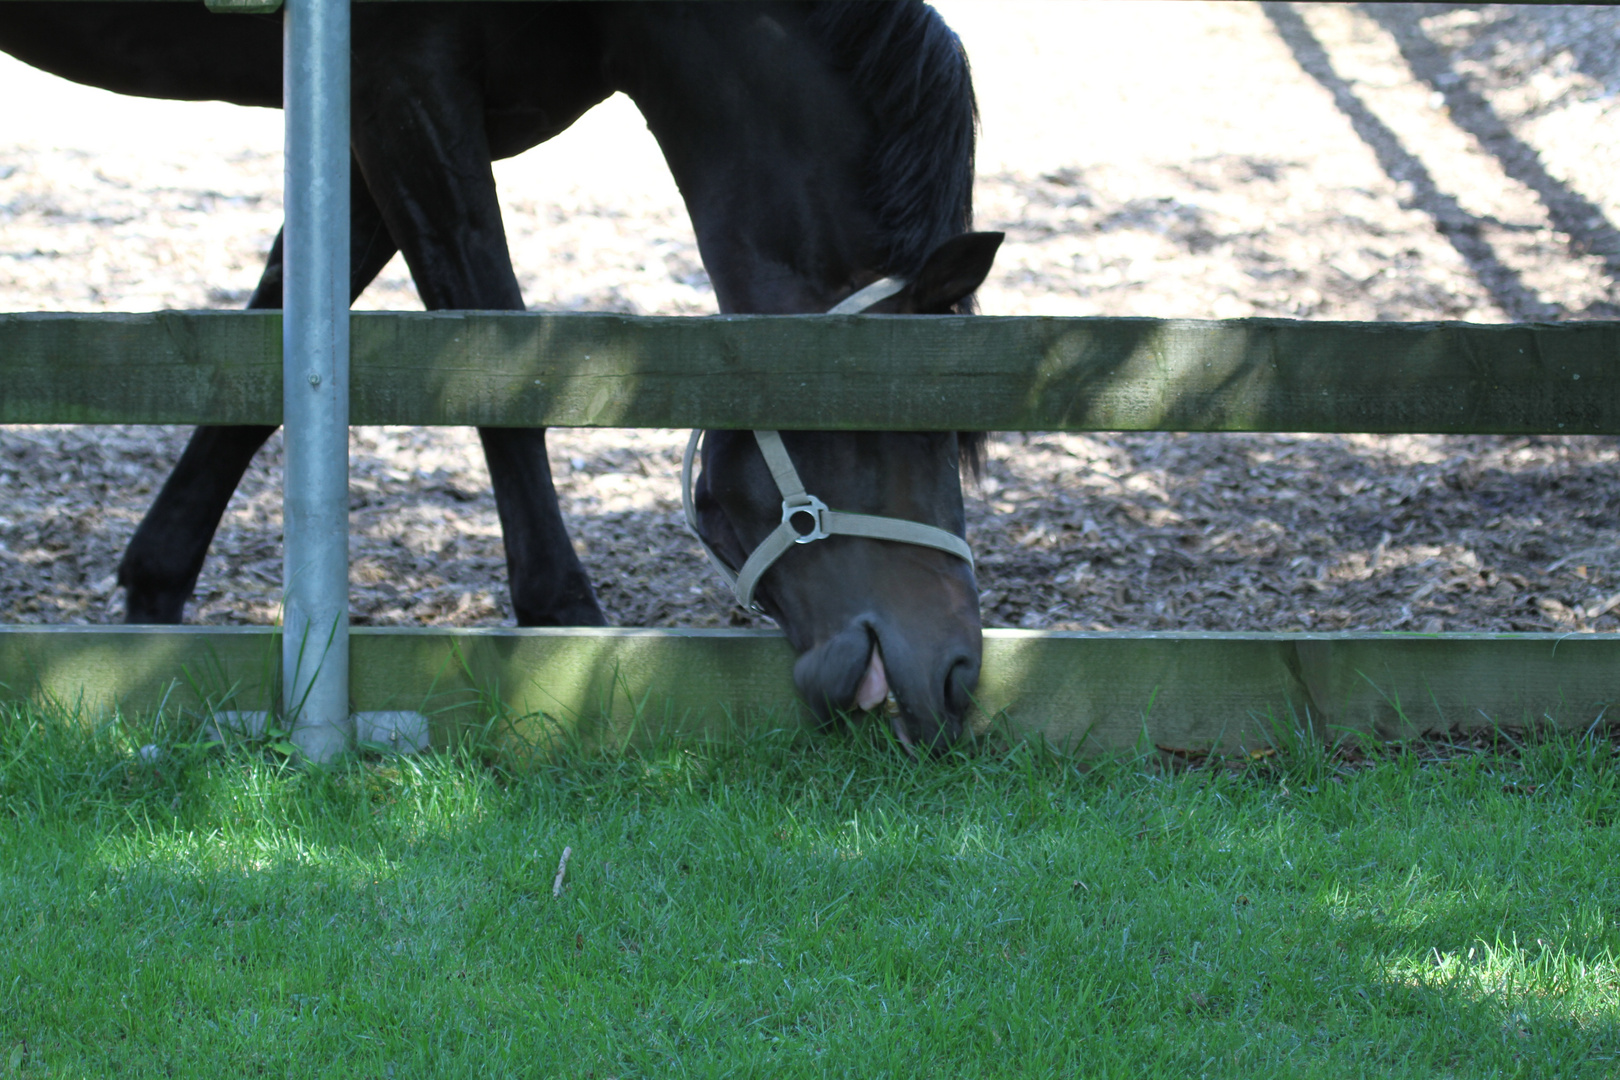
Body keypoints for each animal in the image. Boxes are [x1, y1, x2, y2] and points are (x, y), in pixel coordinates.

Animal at [0, 2, 1004, 751]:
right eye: (899, 419)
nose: (959, 671)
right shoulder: (404, 86)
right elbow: (497, 351)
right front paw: (568, 620)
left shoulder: (365, 119)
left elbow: (269, 341)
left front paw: (155, 594)